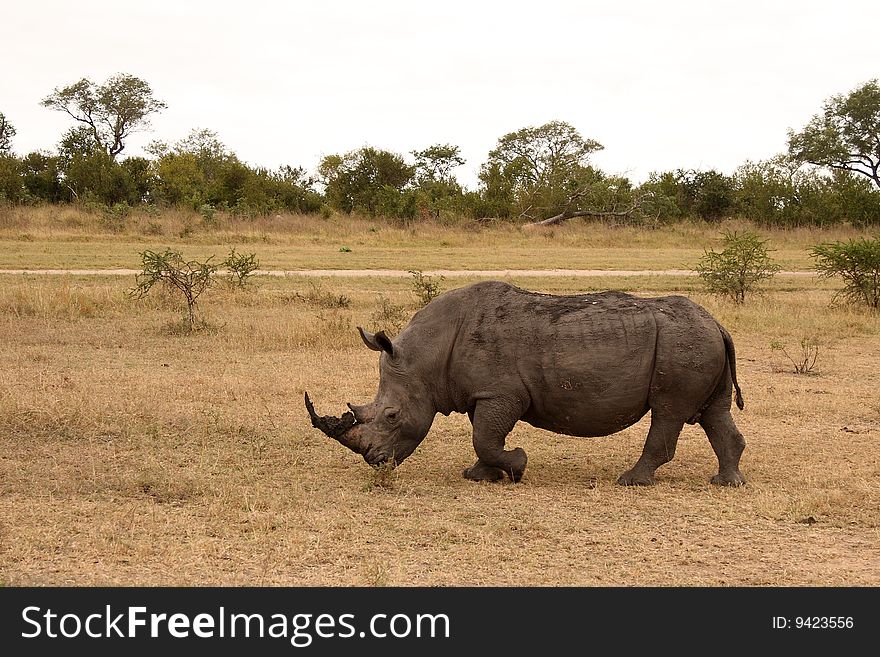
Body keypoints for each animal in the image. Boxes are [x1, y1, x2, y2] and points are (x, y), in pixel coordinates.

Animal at [306, 280, 744, 484]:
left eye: (393, 416)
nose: (374, 461)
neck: (427, 358)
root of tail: (719, 325)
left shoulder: (502, 392)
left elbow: (485, 437)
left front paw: (517, 466)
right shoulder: (482, 393)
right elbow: (483, 436)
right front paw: (480, 476)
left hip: (683, 344)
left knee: (668, 411)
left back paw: (630, 482)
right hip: (697, 341)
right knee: (713, 413)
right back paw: (726, 483)